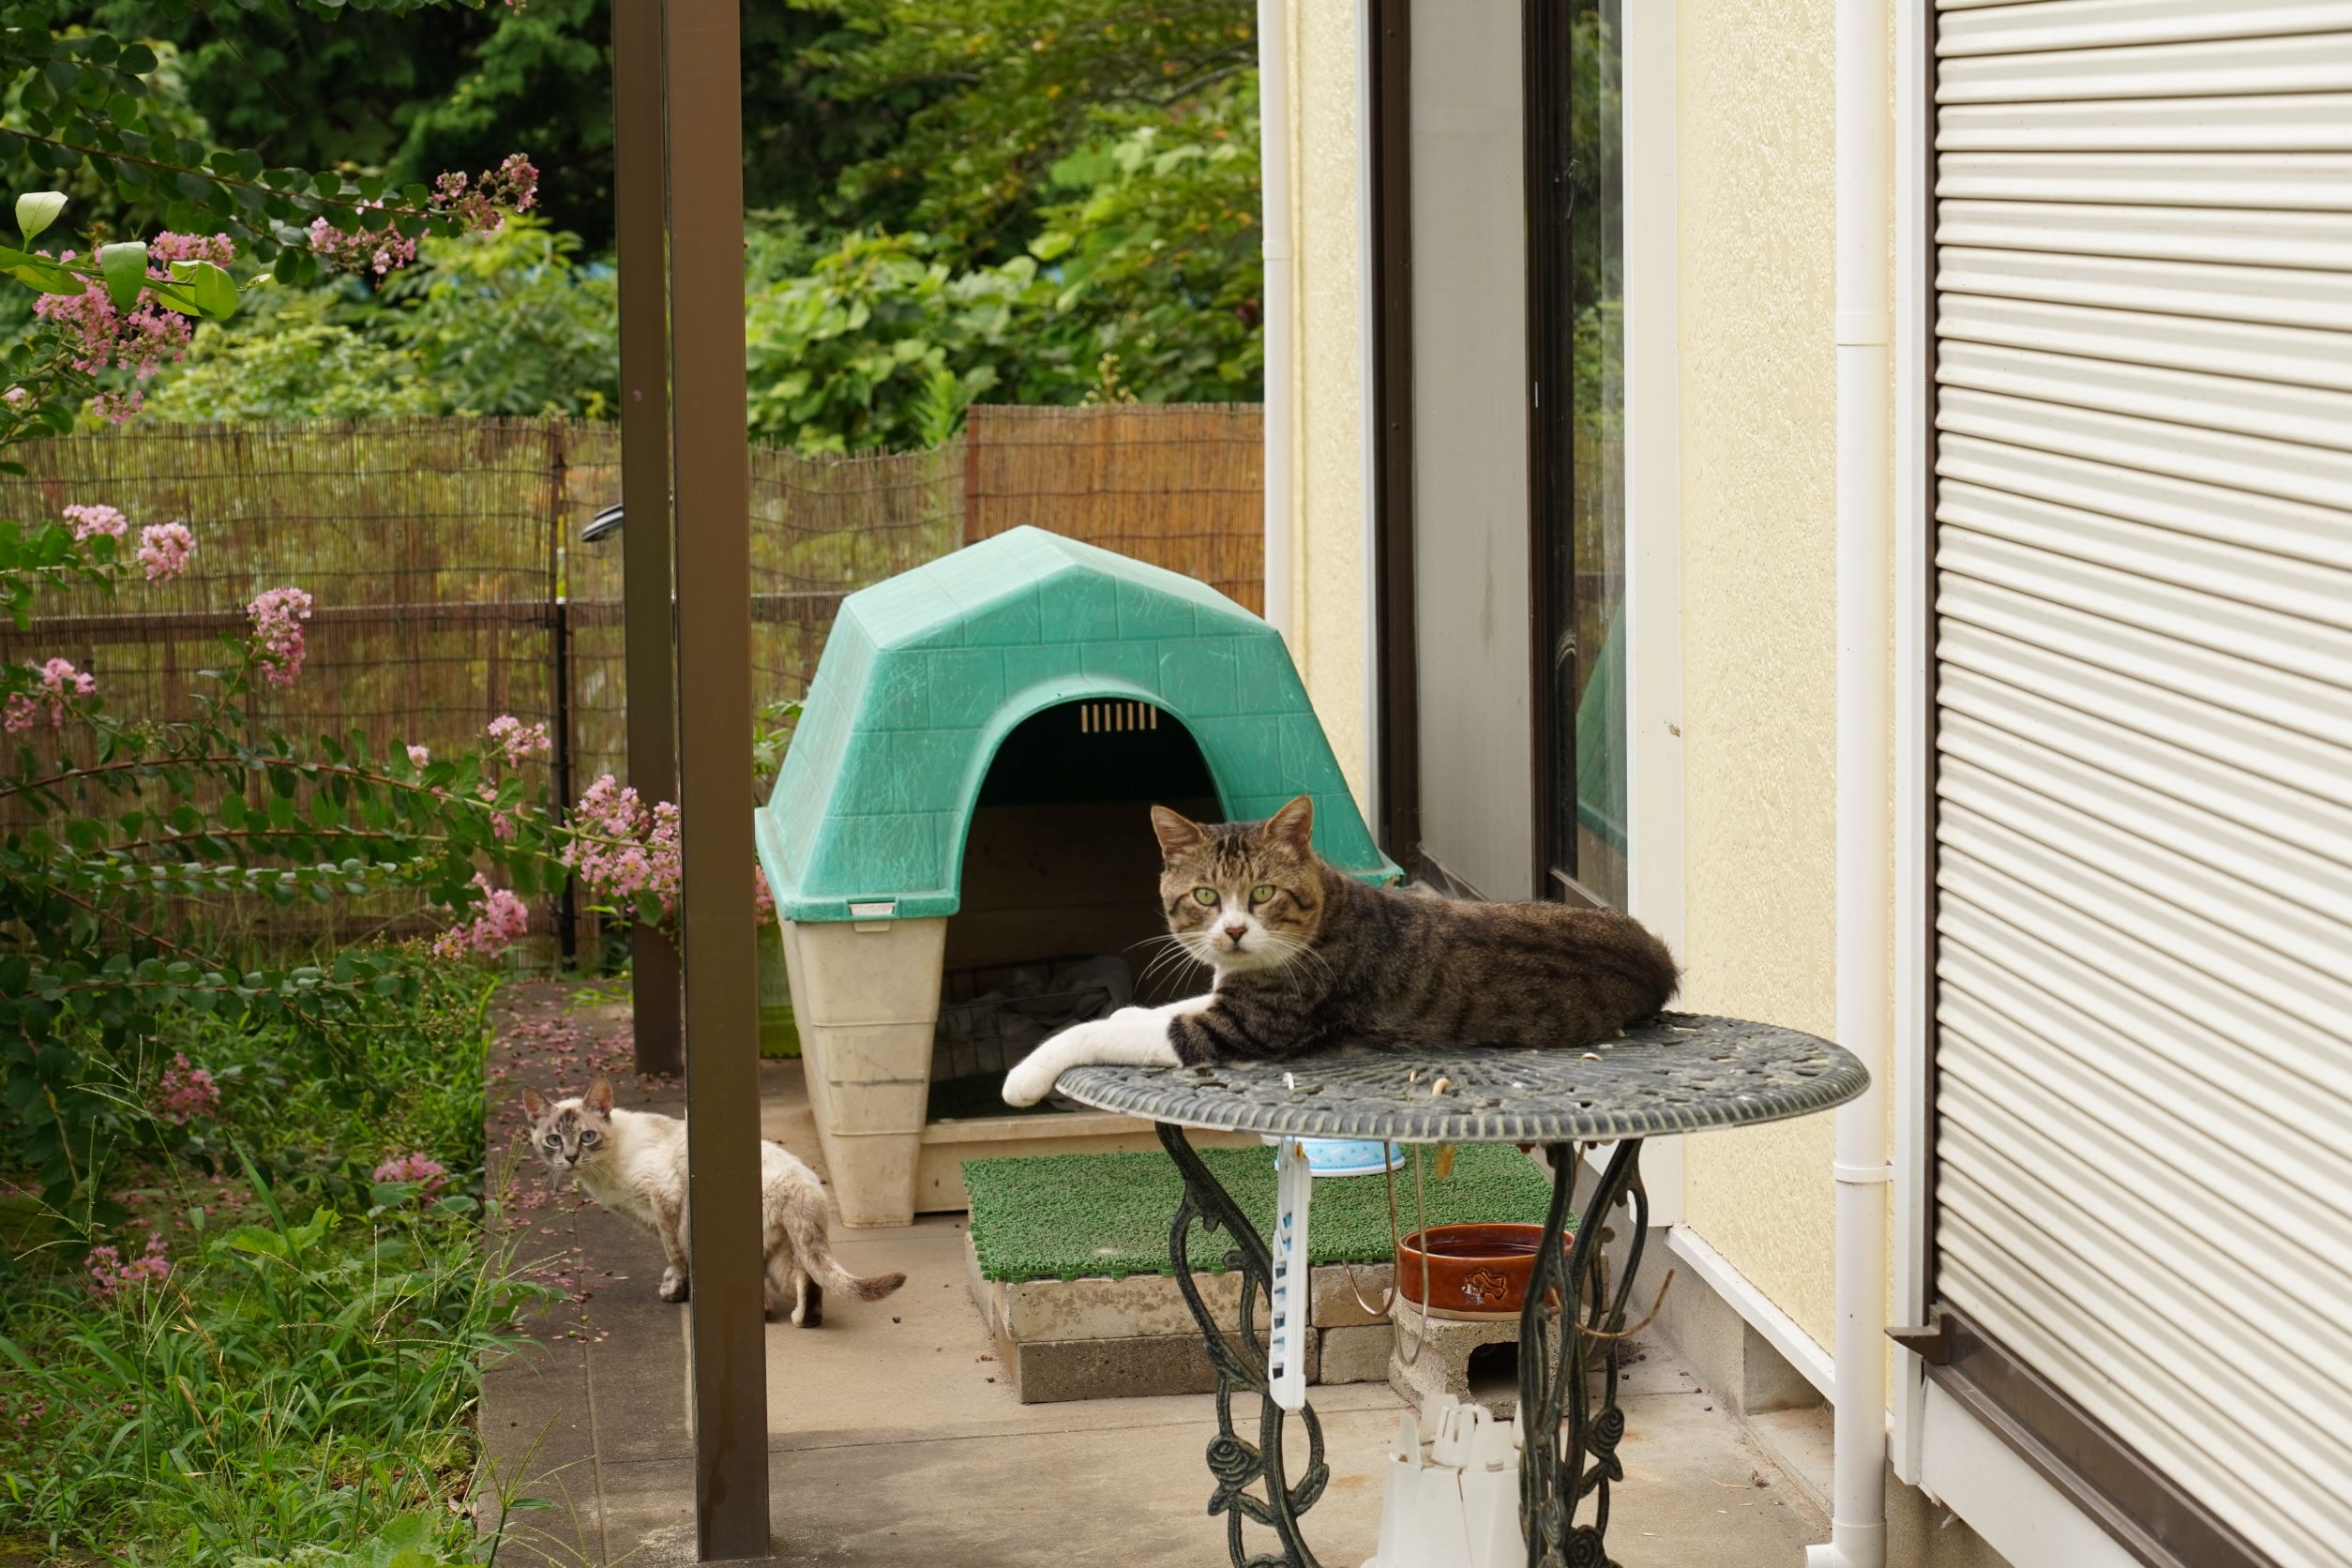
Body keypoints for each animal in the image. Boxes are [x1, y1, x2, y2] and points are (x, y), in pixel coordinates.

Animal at [524, 1081, 908, 1325]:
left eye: (587, 1137)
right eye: (554, 1140)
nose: (571, 1157)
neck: (603, 1174)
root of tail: (799, 1184)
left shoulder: (663, 1200)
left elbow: (674, 1256)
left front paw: (675, 1291)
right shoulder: (651, 1216)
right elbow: (673, 1258)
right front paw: (673, 1283)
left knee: (767, 1302)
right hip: (784, 1253)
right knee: (808, 1282)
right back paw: (804, 1319)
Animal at [1002, 799, 1683, 1105]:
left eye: (1263, 892)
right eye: (1204, 895)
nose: (1234, 931)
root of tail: (1660, 959)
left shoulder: (1249, 1025)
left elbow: (1115, 1031)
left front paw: (1025, 1074)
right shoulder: (1224, 995)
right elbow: (1156, 1011)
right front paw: (1125, 1007)